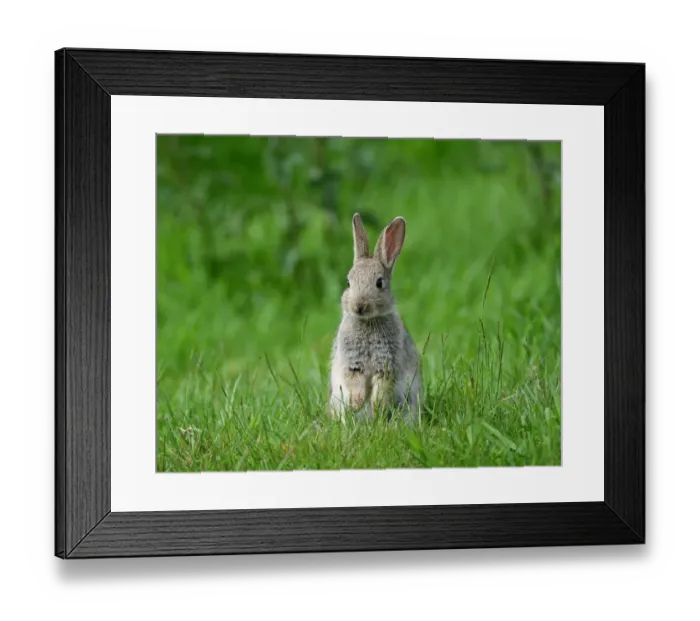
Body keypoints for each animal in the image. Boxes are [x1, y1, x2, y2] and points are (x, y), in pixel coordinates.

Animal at [328, 213, 422, 423]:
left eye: (379, 283)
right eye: (348, 282)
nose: (359, 306)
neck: (368, 322)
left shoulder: (386, 364)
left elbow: (382, 386)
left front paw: (377, 407)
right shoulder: (352, 363)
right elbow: (354, 381)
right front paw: (357, 404)